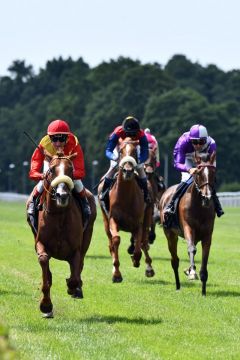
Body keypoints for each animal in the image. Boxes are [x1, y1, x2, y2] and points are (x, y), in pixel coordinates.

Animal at [26, 152, 96, 318]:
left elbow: (75, 276)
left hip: (88, 234)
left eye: (71, 170)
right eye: (51, 170)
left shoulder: (75, 250)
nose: (62, 195)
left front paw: (73, 288)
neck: (59, 216)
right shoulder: (40, 243)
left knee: (81, 263)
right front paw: (46, 305)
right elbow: (44, 262)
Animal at [98, 137, 155, 282]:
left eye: (135, 151)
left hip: (148, 214)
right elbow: (116, 240)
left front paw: (136, 259)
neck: (125, 197)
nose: (128, 170)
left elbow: (139, 245)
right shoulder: (113, 219)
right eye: (121, 151)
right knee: (110, 243)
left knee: (144, 242)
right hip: (105, 220)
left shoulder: (138, 223)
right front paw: (117, 274)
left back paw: (149, 268)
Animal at [158, 152, 217, 296]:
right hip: (170, 234)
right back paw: (178, 285)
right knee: (175, 260)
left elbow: (204, 258)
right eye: (198, 173)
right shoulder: (188, 227)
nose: (207, 198)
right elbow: (191, 249)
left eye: (213, 172)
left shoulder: (207, 234)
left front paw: (203, 291)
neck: (199, 207)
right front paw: (192, 272)